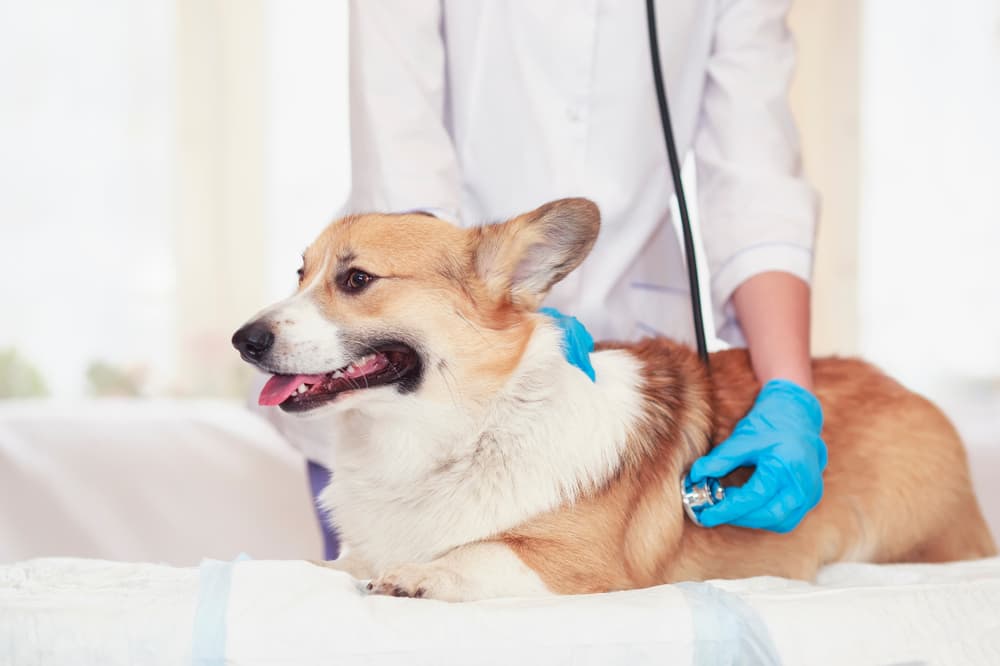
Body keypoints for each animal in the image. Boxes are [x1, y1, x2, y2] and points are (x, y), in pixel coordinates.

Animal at [232, 198, 992, 600]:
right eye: (301, 273)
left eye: (357, 279)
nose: (243, 339)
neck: (460, 434)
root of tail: (906, 389)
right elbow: (339, 565)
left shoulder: (582, 569)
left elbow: (478, 551)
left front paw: (420, 572)